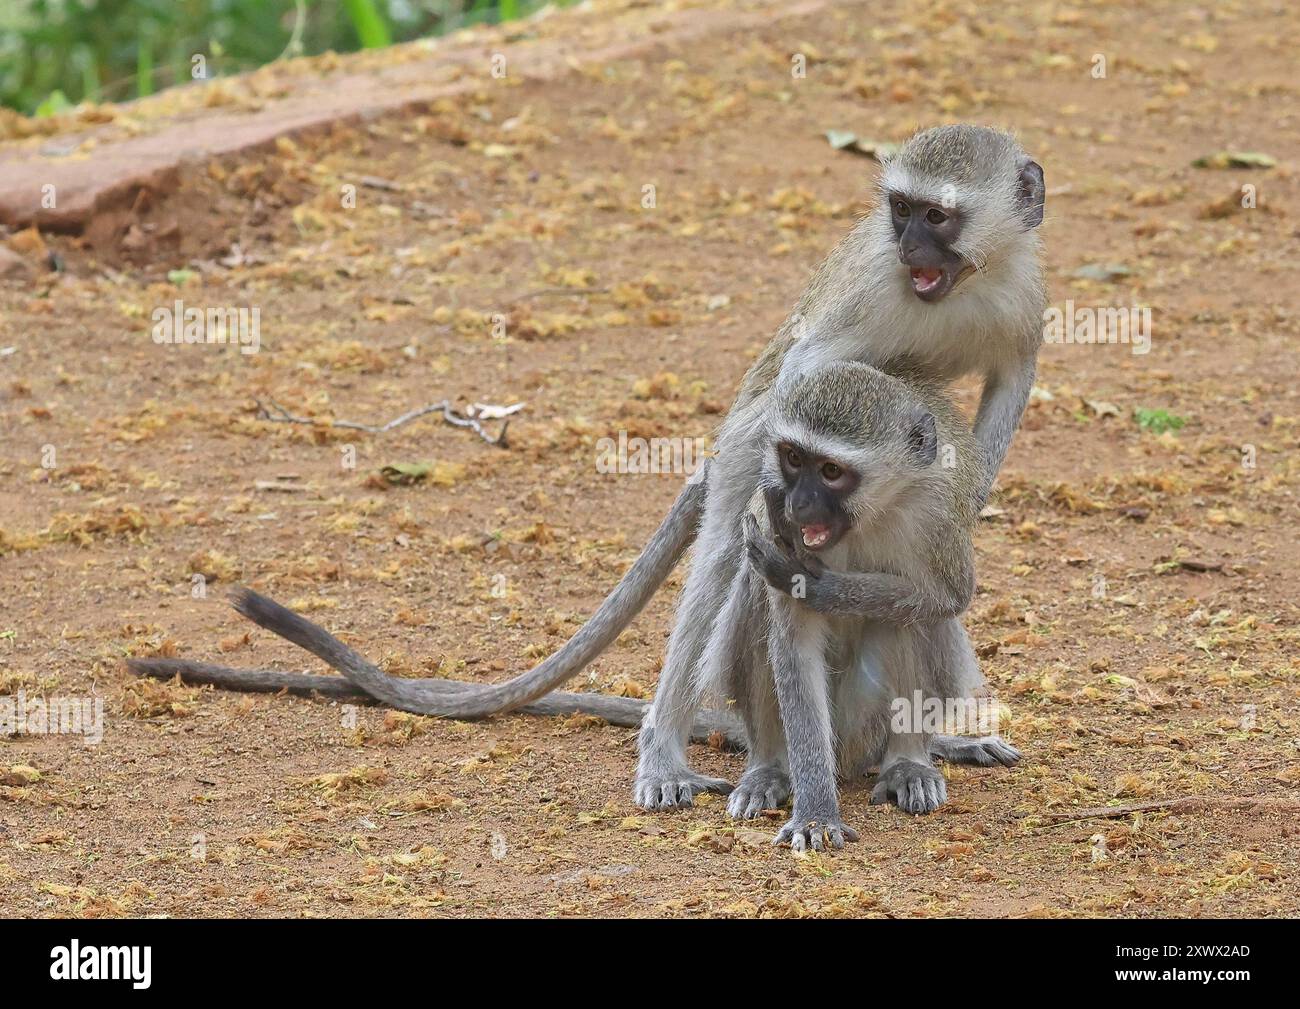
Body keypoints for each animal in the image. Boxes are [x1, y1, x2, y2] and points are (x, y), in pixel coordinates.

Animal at [129, 125, 1045, 810]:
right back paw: (668, 744)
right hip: (742, 454)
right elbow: (809, 376)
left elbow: (1003, 391)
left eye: (937, 215)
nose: (909, 241)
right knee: (723, 554)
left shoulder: (1020, 300)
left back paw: (931, 741)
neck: (949, 289)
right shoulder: (854, 317)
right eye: (901, 210)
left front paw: (967, 496)